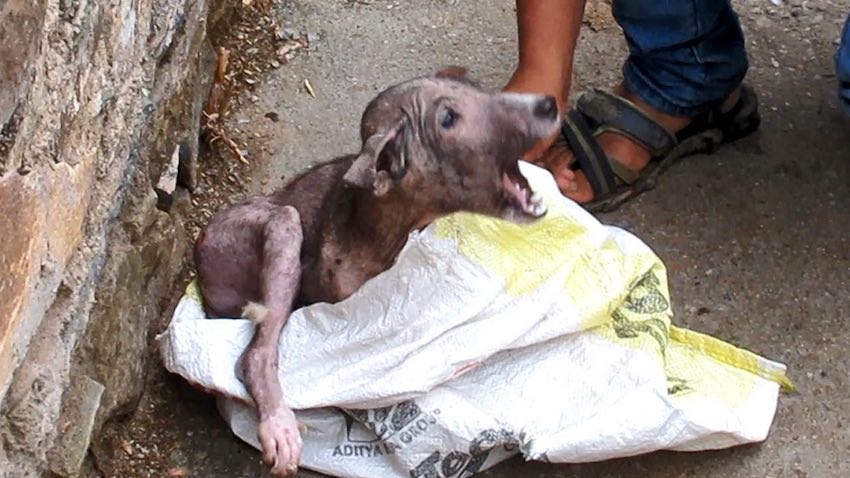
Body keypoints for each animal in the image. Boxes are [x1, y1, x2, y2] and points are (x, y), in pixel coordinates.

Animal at [195, 68, 560, 478]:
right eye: (448, 119)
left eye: (479, 90)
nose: (548, 104)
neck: (388, 229)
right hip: (274, 225)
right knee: (256, 354)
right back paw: (278, 426)